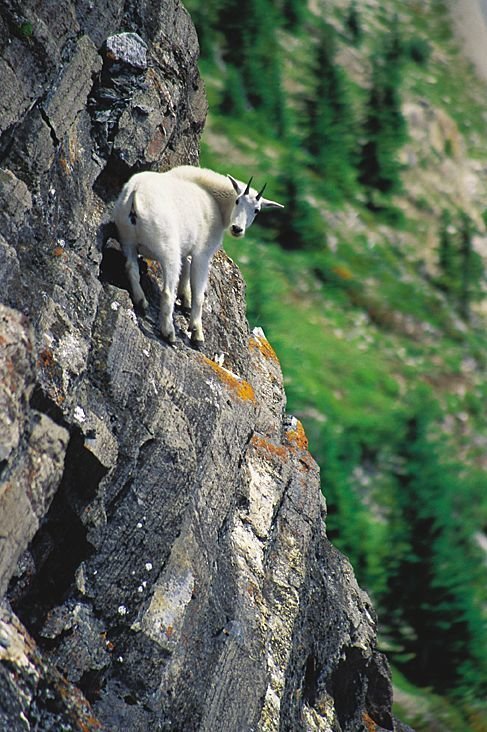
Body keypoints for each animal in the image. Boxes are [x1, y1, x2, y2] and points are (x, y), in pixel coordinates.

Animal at [112, 167, 284, 344]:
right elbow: (199, 294)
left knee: (131, 268)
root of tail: (135, 194)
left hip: (127, 238)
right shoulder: (202, 254)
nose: (237, 229)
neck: (217, 203)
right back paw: (169, 332)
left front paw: (185, 299)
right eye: (237, 201)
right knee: (167, 291)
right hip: (167, 247)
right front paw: (196, 331)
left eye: (256, 210)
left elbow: (186, 268)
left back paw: (141, 301)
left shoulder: (186, 247)